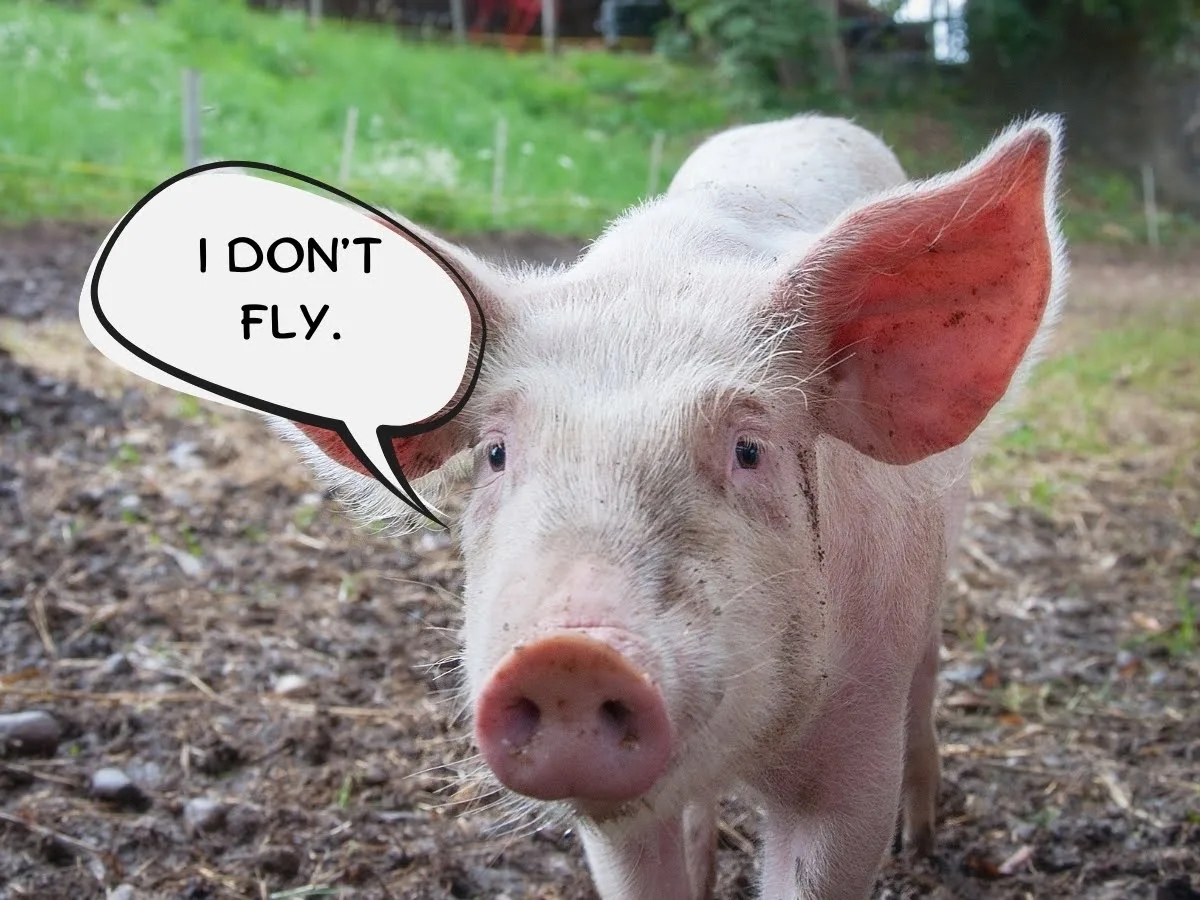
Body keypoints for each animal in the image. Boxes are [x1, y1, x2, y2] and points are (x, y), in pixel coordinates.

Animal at [268, 112, 1067, 899]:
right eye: (495, 453)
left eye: (749, 450)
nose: (568, 656)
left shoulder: (856, 751)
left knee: (926, 682)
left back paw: (922, 842)